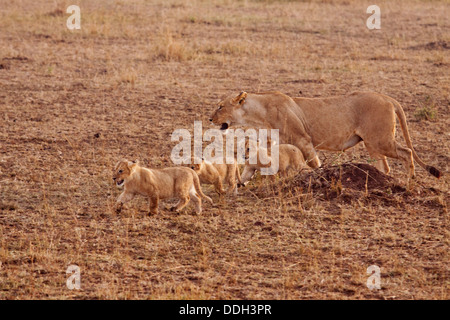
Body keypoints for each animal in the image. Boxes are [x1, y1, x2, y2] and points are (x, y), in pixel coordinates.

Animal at [209, 90, 442, 180]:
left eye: (220, 106)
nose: (210, 119)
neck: (257, 114)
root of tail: (386, 97)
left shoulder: (304, 141)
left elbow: (314, 164)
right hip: (372, 144)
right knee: (385, 166)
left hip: (381, 140)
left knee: (407, 152)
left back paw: (410, 180)